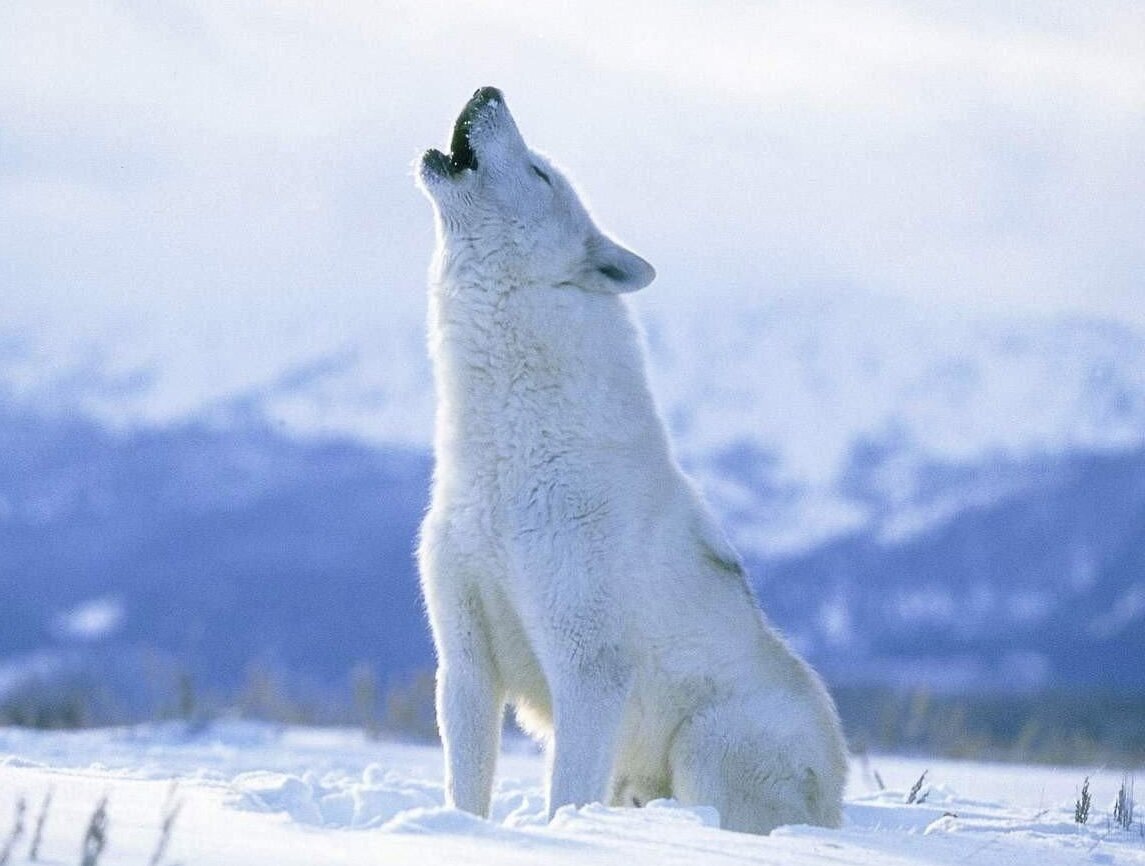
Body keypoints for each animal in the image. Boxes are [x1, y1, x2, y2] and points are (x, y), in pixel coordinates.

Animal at [416, 86, 847, 833]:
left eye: (539, 175)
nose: (488, 90)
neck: (507, 460)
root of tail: (840, 799)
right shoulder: (464, 661)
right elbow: (465, 790)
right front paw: (461, 834)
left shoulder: (588, 668)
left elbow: (565, 793)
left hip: (706, 744)